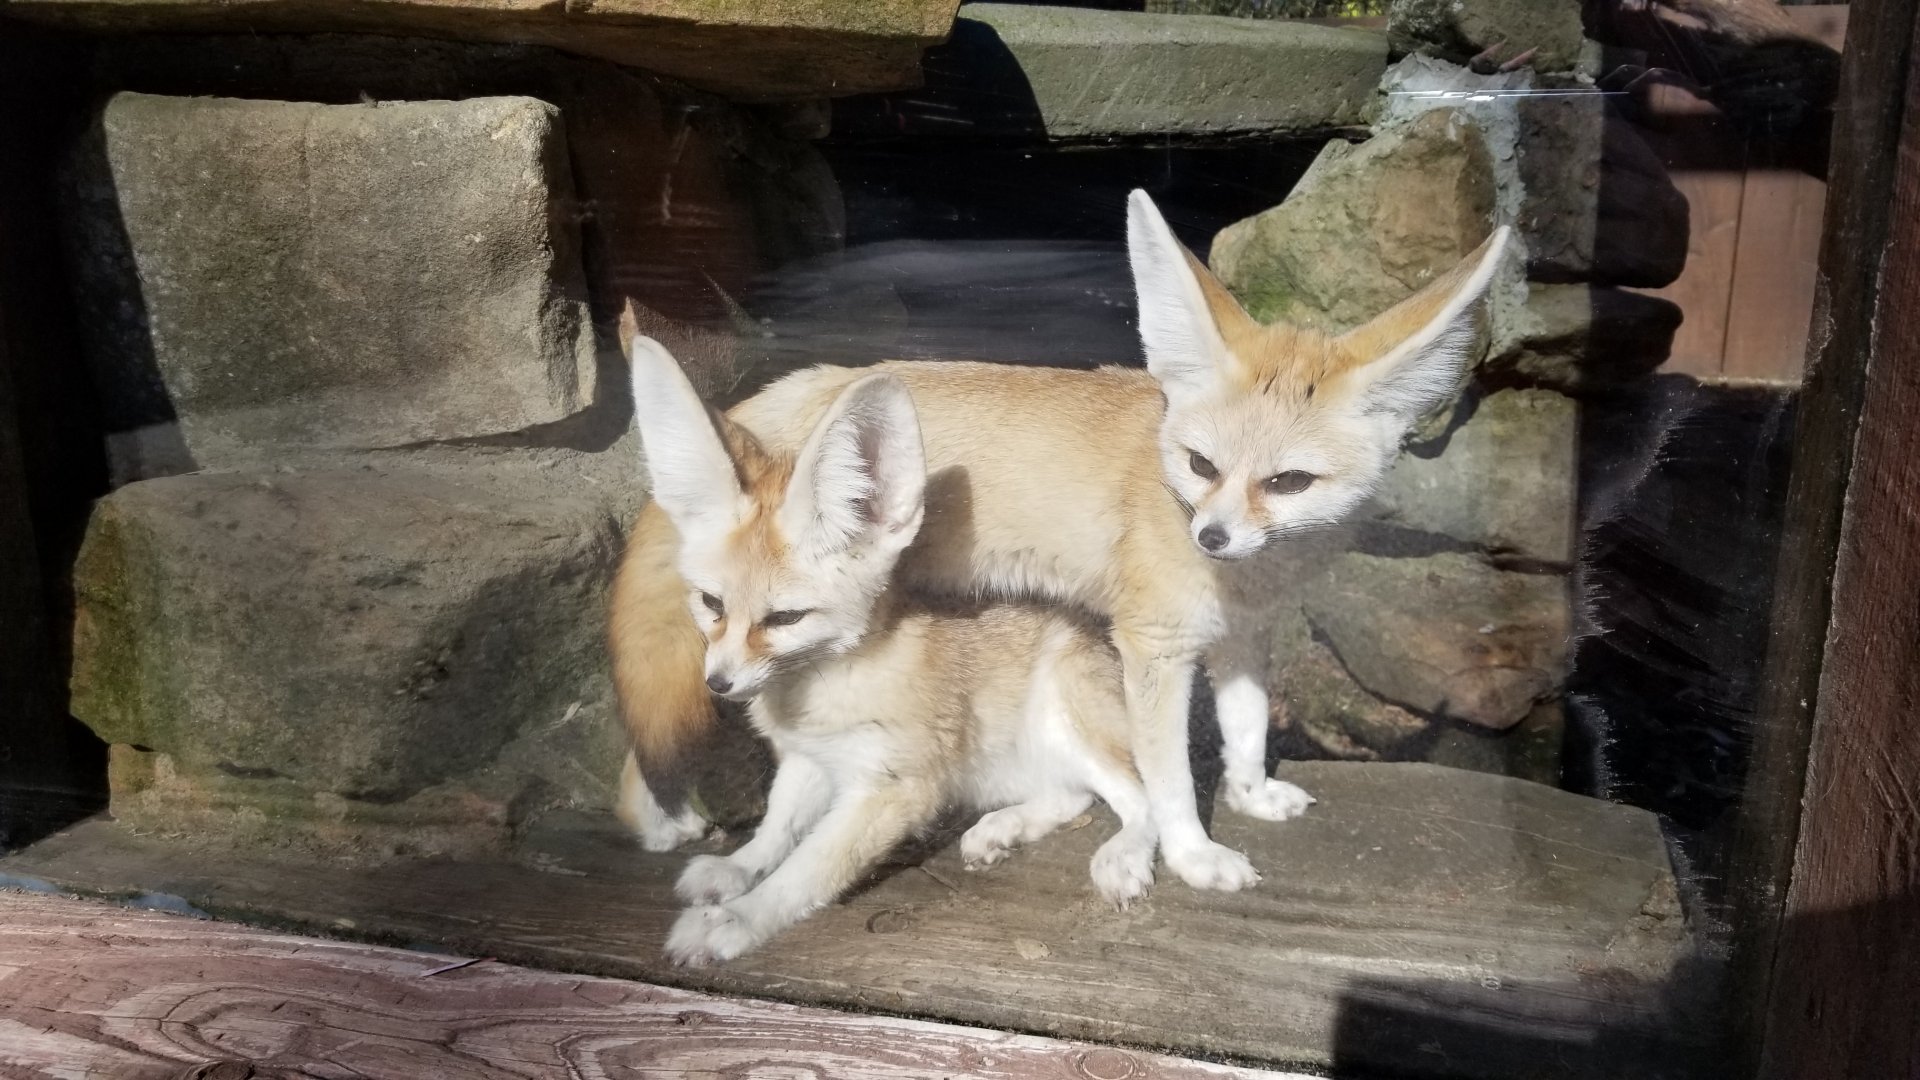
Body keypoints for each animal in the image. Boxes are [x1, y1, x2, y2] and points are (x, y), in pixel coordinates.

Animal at [611, 188, 1512, 892]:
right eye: (1201, 465)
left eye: (1288, 483)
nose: (1213, 536)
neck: (1247, 575)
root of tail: (816, 380)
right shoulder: (1153, 650)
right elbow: (1170, 778)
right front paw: (1193, 855)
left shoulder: (1243, 637)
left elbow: (1249, 728)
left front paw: (1252, 795)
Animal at [625, 331, 1159, 966]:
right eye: (712, 604)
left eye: (785, 618)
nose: (718, 684)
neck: (821, 692)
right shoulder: (811, 760)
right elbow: (777, 830)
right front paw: (737, 869)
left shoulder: (892, 790)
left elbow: (806, 870)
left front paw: (736, 919)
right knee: (1072, 796)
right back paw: (1000, 829)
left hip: (1066, 717)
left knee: (1142, 797)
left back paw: (1125, 853)